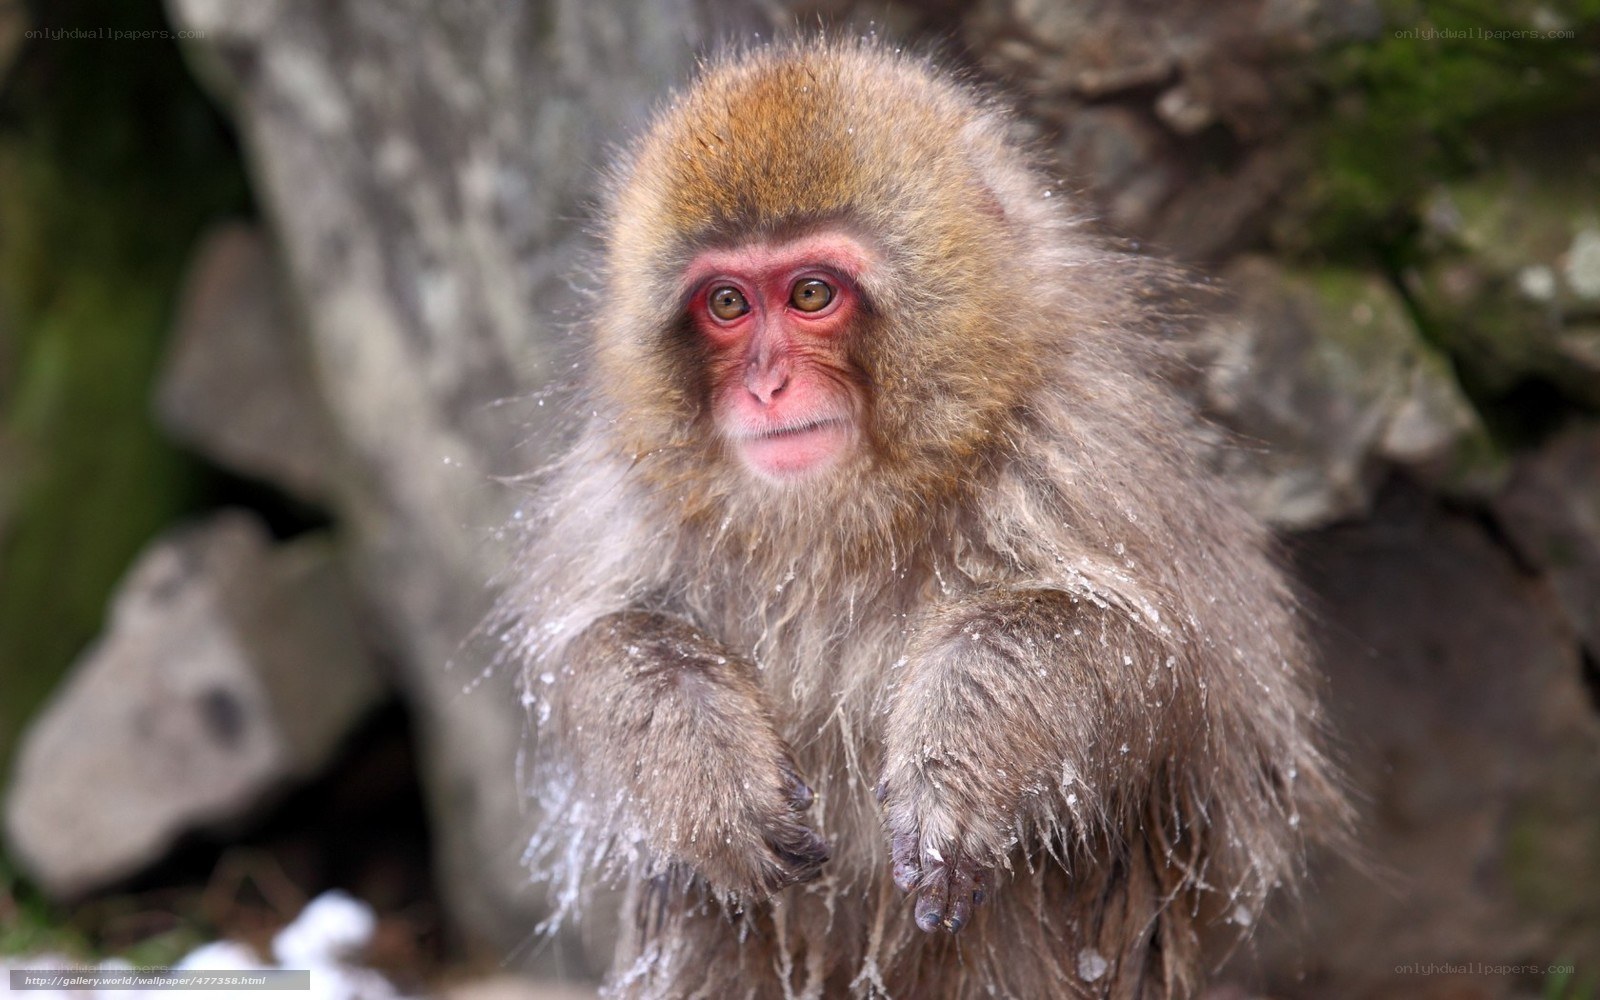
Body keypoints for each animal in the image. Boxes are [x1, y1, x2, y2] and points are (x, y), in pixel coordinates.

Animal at [496, 38, 1346, 1000]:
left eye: (812, 293)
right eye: (727, 304)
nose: (766, 386)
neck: (849, 510)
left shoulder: (1082, 451)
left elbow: (1150, 663)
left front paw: (958, 770)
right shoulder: (632, 488)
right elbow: (594, 645)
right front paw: (704, 773)